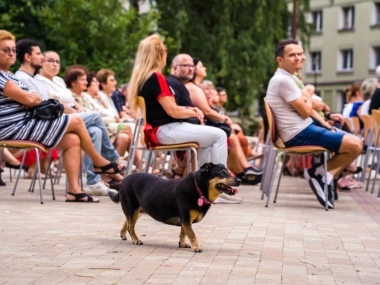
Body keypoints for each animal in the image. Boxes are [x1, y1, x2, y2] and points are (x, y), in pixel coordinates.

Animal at [108, 162, 242, 251]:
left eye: (229, 172)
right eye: (222, 173)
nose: (240, 180)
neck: (198, 188)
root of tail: (124, 180)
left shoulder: (185, 220)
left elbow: (184, 232)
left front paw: (182, 243)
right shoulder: (186, 218)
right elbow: (192, 234)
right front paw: (196, 247)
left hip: (138, 210)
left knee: (127, 221)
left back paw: (123, 234)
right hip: (132, 207)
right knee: (131, 226)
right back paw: (136, 239)